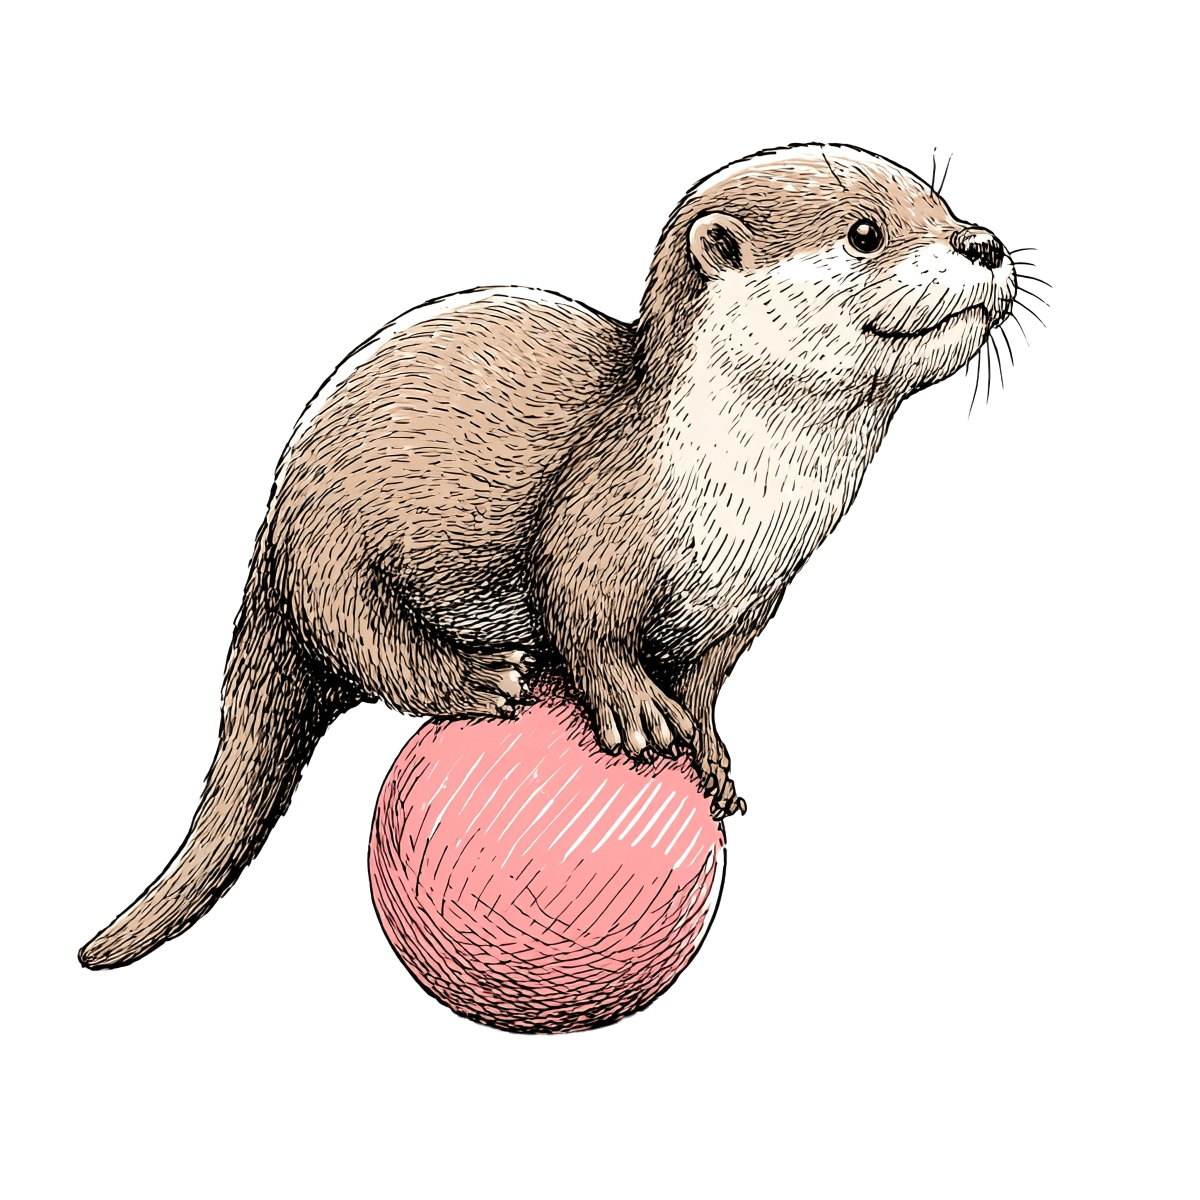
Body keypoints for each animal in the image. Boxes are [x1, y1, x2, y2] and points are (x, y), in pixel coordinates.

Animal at [80, 142, 1017, 970]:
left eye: (944, 206)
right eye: (866, 232)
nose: (985, 242)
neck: (743, 498)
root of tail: (270, 539)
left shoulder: (755, 595)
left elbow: (710, 674)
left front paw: (711, 754)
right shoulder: (595, 521)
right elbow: (580, 614)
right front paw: (637, 712)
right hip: (330, 553)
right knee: (367, 642)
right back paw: (483, 677)